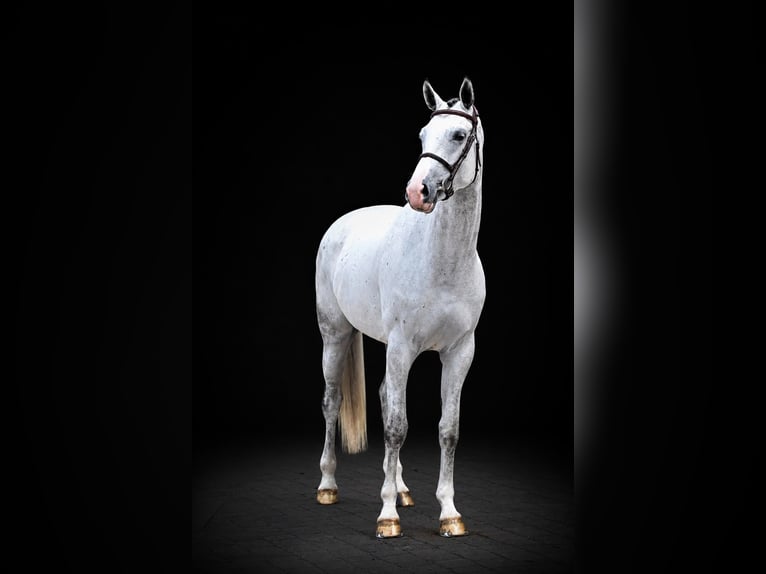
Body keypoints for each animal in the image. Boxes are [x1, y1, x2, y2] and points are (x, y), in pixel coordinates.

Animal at [314, 77, 486, 538]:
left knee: (381, 395)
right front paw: (387, 516)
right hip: (336, 335)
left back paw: (404, 489)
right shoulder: (402, 346)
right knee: (333, 401)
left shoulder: (459, 352)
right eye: (423, 135)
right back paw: (328, 486)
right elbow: (395, 427)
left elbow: (449, 429)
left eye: (458, 135)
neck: (442, 261)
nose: (417, 192)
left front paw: (449, 513)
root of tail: (342, 224)